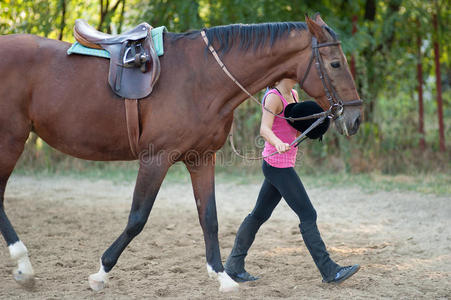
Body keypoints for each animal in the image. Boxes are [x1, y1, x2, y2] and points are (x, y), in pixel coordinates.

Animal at [0, 12, 362, 292]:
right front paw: (101, 273)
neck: (201, 77)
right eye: (334, 63)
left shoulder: (201, 159)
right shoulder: (155, 160)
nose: (356, 117)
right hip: (10, 141)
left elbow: (209, 217)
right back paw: (24, 265)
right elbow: (137, 219)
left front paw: (223, 277)